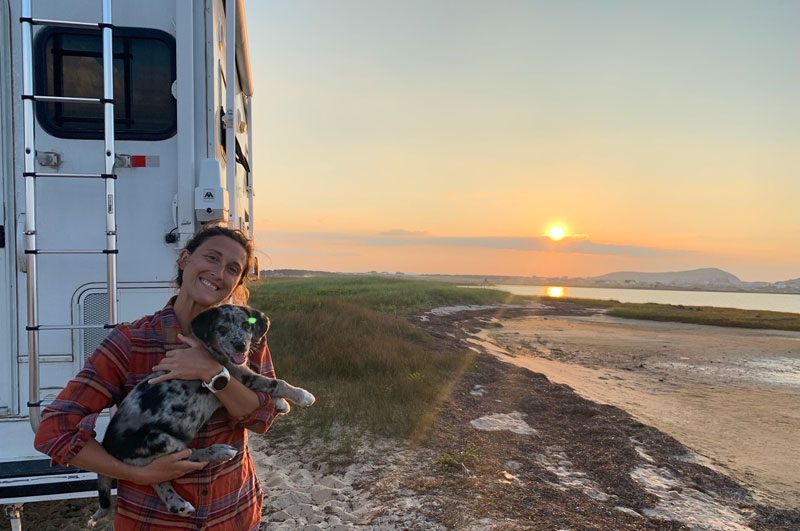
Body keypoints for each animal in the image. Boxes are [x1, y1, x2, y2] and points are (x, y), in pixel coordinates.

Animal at [87, 304, 312, 528]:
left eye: (246, 326)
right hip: (161, 440)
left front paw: (280, 403)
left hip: (146, 460)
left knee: (156, 479)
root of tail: (107, 446)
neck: (208, 347)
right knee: (186, 457)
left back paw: (178, 504)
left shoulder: (241, 374)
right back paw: (220, 452)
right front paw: (302, 395)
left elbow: (266, 388)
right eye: (221, 328)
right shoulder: (239, 375)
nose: (240, 345)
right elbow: (274, 383)